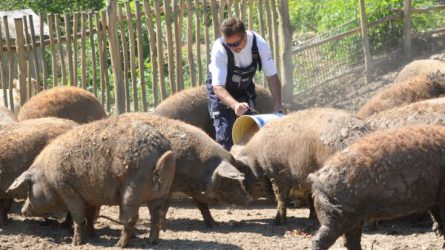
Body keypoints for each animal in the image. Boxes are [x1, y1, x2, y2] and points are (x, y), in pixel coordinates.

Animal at [234, 108, 370, 225]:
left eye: (244, 172)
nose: (242, 199)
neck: (257, 158)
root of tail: (361, 134)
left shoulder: (277, 174)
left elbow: (281, 197)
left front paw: (278, 222)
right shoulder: (305, 176)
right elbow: (310, 197)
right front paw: (311, 217)